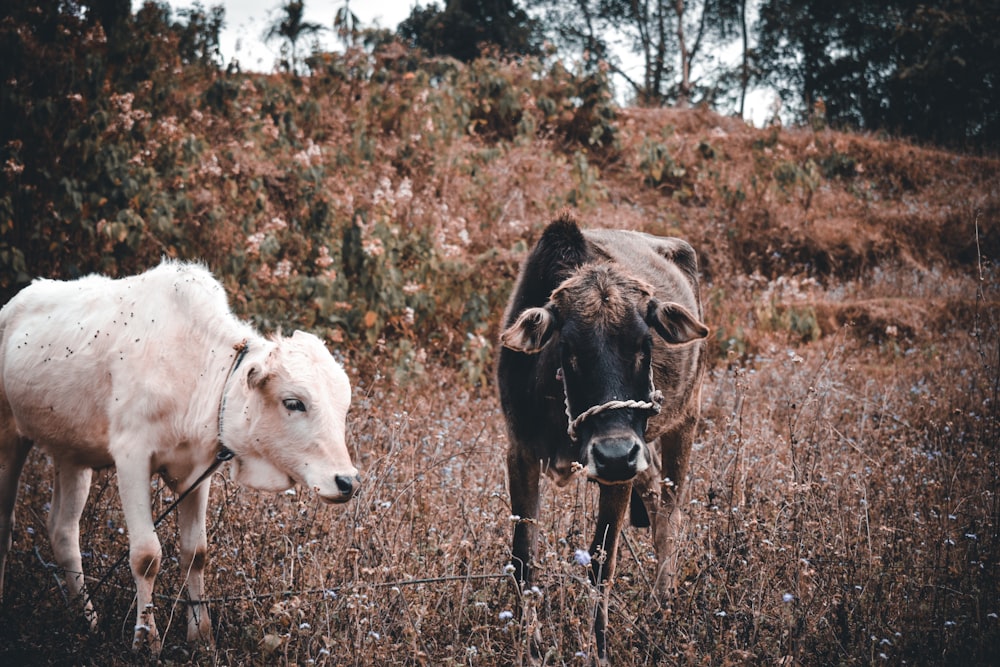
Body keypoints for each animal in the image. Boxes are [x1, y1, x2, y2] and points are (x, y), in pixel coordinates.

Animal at [0, 260, 360, 652]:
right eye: (293, 402)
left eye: (343, 408)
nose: (347, 481)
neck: (193, 370)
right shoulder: (132, 458)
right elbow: (147, 556)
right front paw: (146, 638)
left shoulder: (198, 473)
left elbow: (194, 553)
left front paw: (200, 634)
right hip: (9, 438)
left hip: (71, 457)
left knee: (63, 531)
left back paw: (86, 619)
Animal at [496, 214, 708, 664]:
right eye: (569, 347)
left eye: (645, 344)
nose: (613, 454)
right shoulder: (520, 453)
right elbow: (523, 559)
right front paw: (531, 648)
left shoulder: (619, 473)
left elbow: (601, 563)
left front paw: (598, 649)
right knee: (655, 495)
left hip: (683, 420)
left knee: (670, 513)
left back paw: (661, 605)